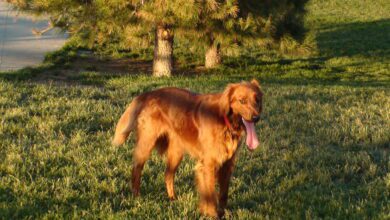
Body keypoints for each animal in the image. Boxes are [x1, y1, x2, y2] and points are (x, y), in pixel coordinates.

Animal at [112, 79, 264, 217]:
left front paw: (222, 213)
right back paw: (136, 196)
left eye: (257, 100)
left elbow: (223, 194)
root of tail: (150, 93)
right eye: (242, 101)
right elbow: (210, 196)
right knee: (136, 169)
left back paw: (172, 198)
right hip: (146, 144)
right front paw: (212, 214)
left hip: (176, 153)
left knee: (167, 174)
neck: (225, 121)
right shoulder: (208, 165)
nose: (256, 118)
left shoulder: (227, 164)